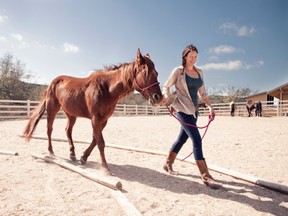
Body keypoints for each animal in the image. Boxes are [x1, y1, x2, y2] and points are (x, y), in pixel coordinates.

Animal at [23, 48, 163, 172]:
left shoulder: (104, 119)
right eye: (145, 72)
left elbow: (95, 139)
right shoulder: (95, 118)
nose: (158, 97)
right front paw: (105, 167)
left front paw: (83, 157)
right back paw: (51, 152)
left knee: (68, 131)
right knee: (49, 130)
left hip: (71, 114)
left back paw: (72, 154)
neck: (106, 88)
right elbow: (100, 142)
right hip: (52, 110)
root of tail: (53, 83)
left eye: (156, 73)